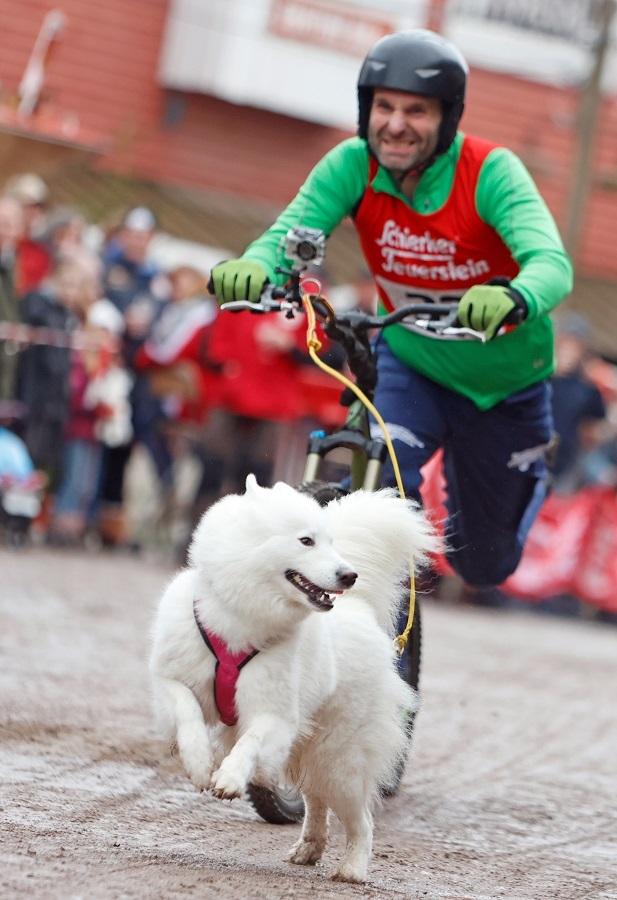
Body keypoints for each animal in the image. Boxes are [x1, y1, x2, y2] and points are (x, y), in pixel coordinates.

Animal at [149, 474, 438, 884]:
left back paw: (352, 869)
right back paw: (309, 849)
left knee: (360, 819)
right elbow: (188, 715)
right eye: (306, 541)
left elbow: (250, 741)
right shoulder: (171, 680)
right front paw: (200, 765)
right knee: (316, 802)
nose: (349, 575)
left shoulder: (276, 713)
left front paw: (230, 778)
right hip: (311, 749)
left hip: (339, 758)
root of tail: (359, 606)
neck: (242, 620)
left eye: (329, 541)